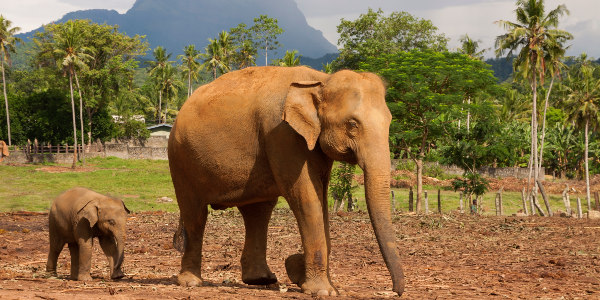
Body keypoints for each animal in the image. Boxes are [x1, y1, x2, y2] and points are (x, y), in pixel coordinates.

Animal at [168, 66, 404, 296]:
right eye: (352, 124)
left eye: (390, 121)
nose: (396, 292)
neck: (321, 79)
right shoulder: (282, 133)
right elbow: (307, 197)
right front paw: (322, 291)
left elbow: (322, 198)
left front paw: (318, 282)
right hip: (181, 160)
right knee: (196, 214)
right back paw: (191, 282)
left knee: (258, 213)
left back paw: (261, 280)